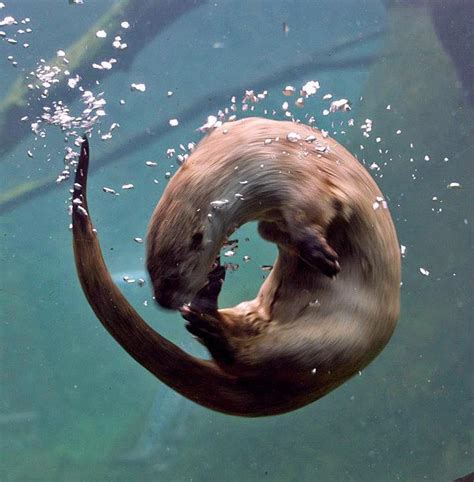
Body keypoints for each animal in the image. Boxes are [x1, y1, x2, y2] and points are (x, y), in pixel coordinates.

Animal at [72, 117, 402, 418]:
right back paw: (209, 304)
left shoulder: (303, 182)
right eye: (150, 272)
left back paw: (214, 329)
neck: (263, 157)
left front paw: (320, 254)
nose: (163, 301)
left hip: (324, 345)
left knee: (255, 358)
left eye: (171, 275)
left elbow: (313, 213)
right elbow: (271, 232)